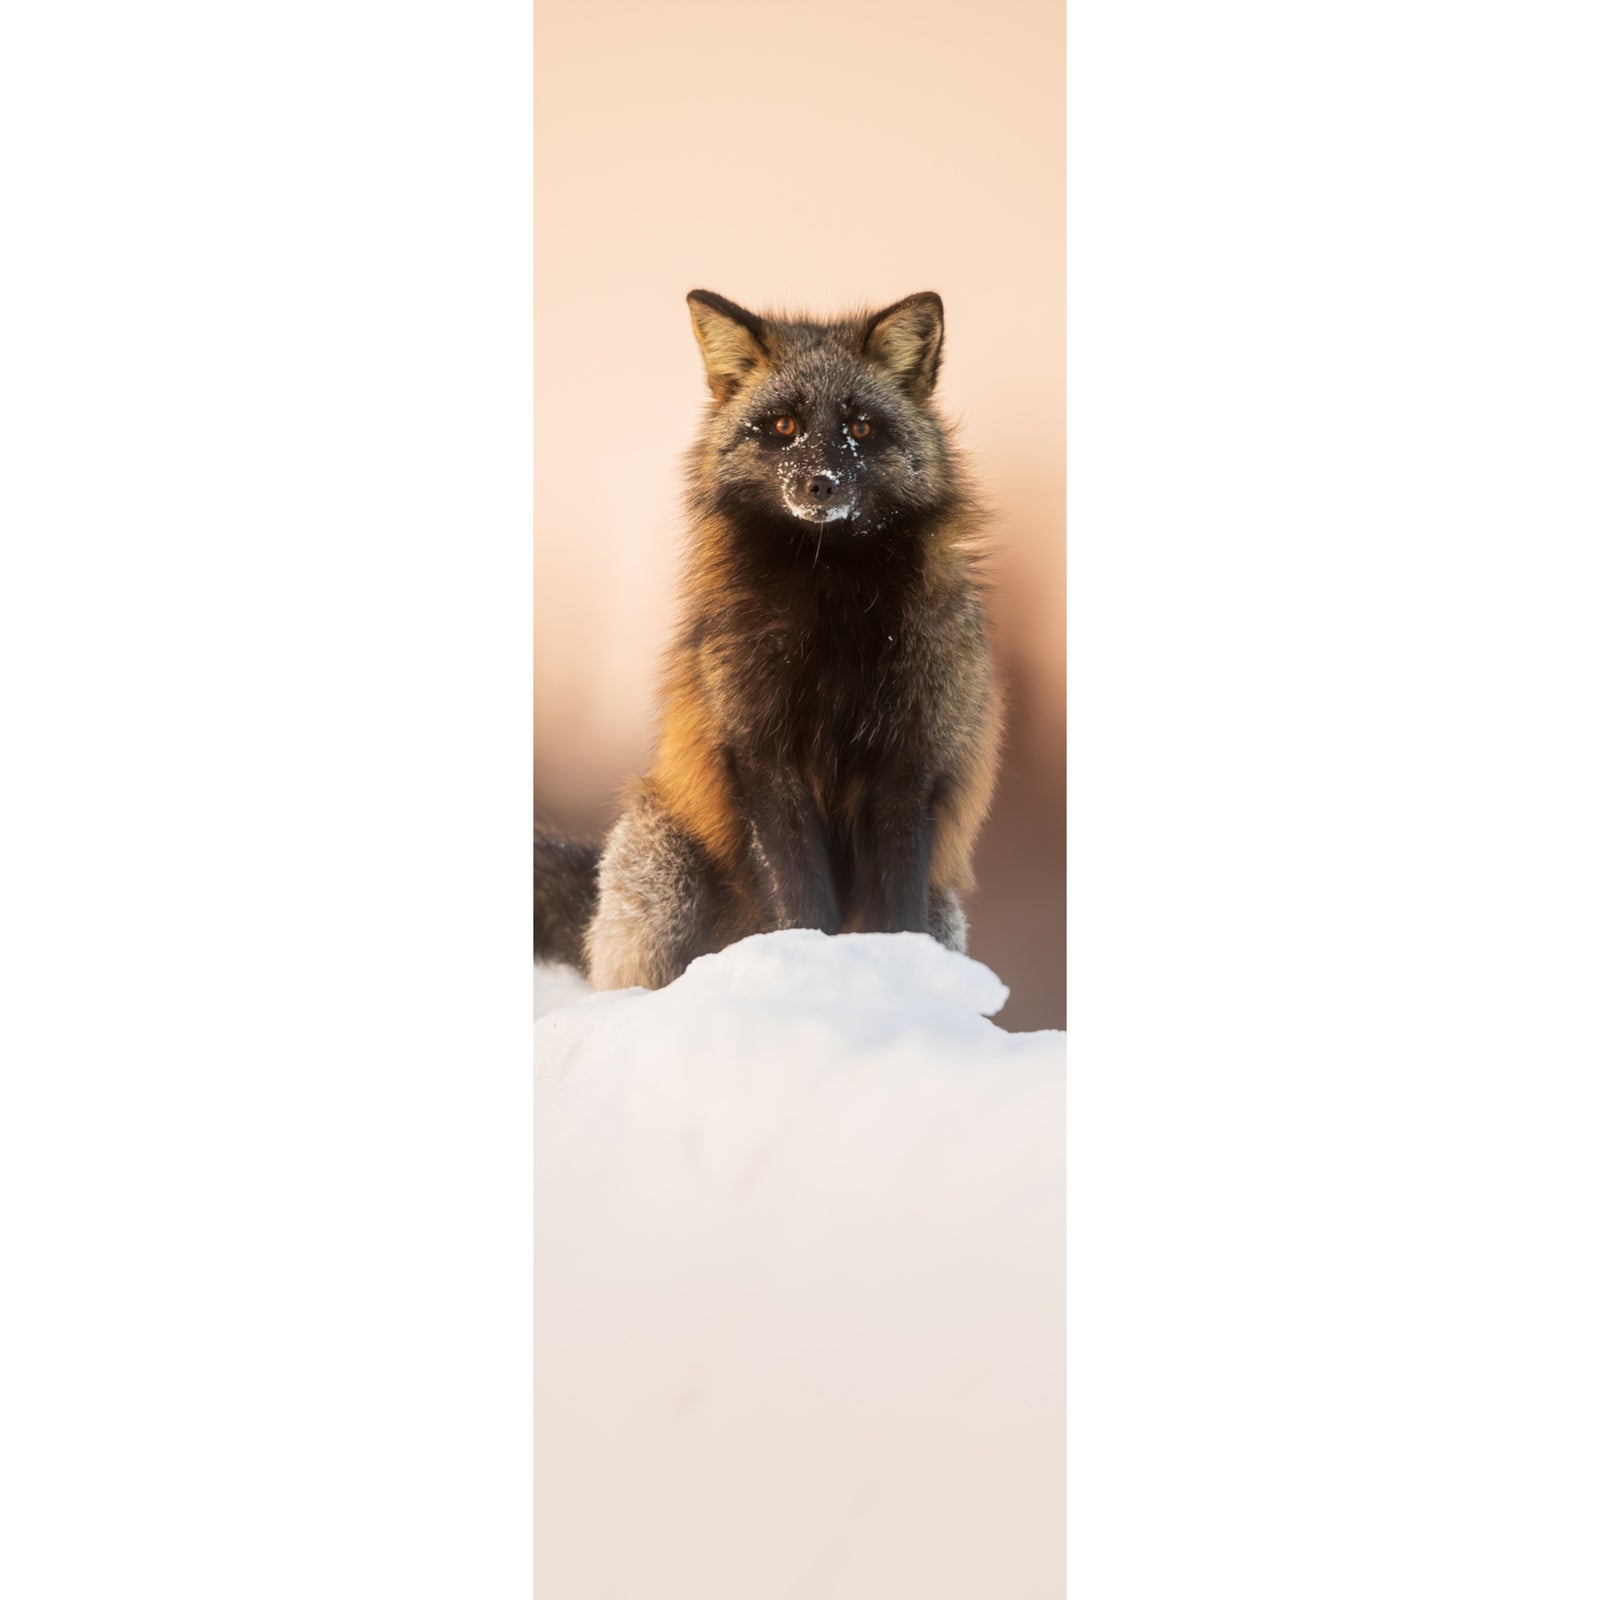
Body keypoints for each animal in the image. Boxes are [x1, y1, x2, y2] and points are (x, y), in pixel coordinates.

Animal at [534, 288, 1003, 990]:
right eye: (784, 427)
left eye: (861, 427)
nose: (820, 484)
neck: (834, 621)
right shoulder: (762, 755)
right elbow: (799, 897)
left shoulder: (910, 763)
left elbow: (895, 908)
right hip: (664, 862)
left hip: (946, 913)